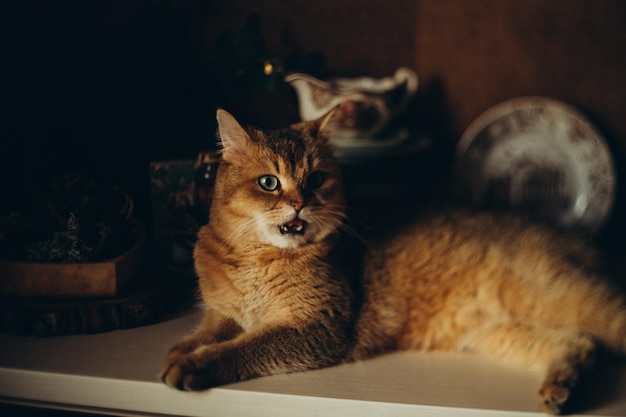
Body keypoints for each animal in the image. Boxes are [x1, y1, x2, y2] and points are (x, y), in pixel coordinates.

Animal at [161, 107, 624, 412]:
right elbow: (213, 329)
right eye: (269, 183)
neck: (256, 258)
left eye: (317, 179)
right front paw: (183, 348)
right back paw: (564, 387)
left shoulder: (319, 327)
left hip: (566, 298)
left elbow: (246, 345)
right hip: (499, 331)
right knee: (578, 343)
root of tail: (577, 240)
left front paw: (195, 364)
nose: (300, 204)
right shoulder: (225, 311)